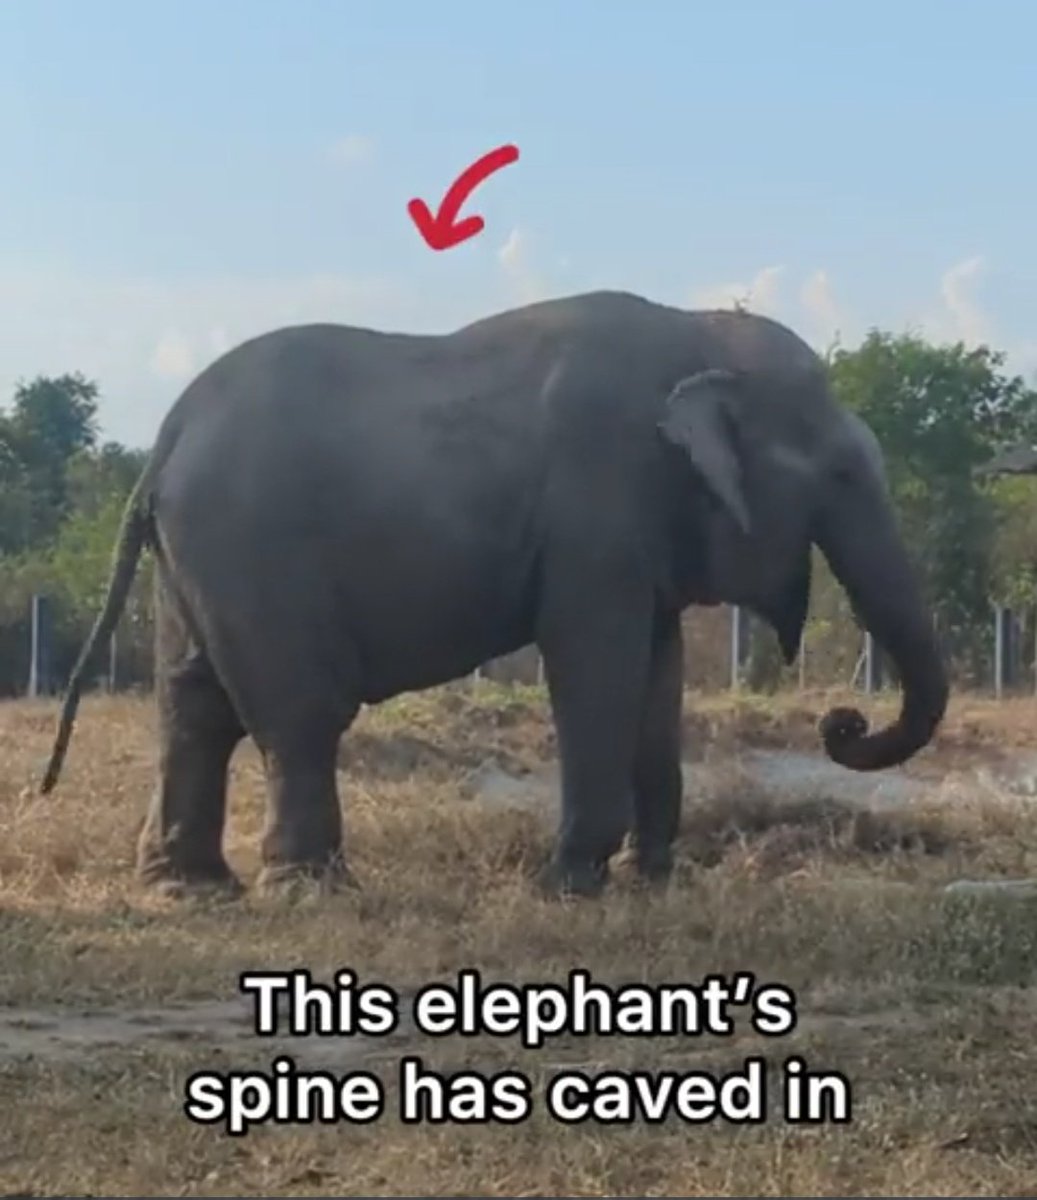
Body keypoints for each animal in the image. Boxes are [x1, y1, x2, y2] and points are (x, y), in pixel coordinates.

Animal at [39, 289, 948, 899]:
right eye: (839, 474)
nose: (840, 722)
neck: (696, 329)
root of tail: (166, 437)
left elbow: (656, 672)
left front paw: (649, 882)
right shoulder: (596, 508)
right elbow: (593, 663)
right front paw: (569, 887)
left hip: (198, 556)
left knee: (192, 705)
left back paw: (191, 890)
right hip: (252, 548)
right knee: (297, 715)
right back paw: (312, 890)